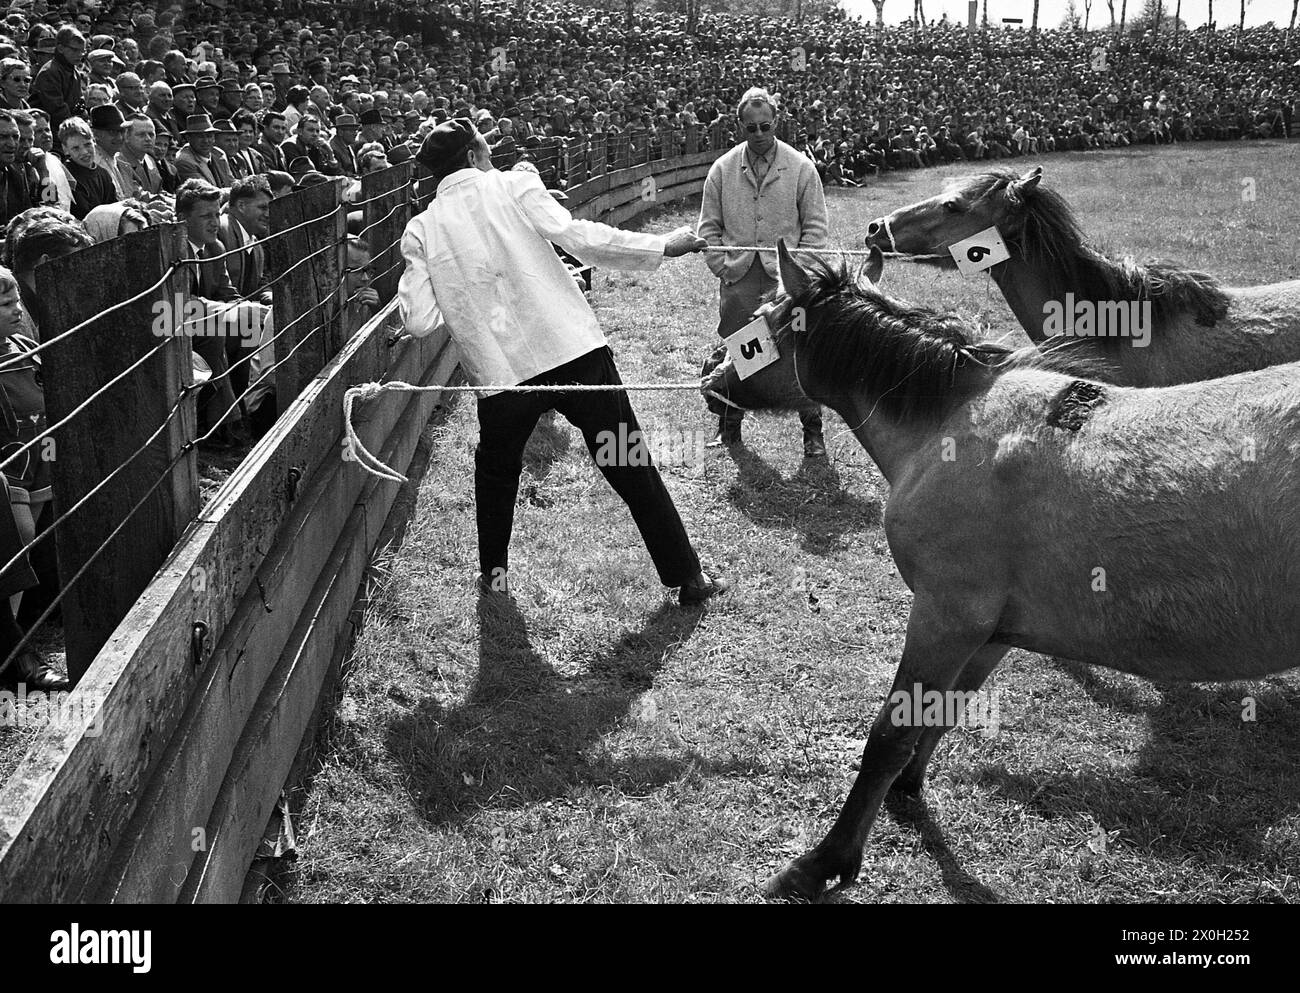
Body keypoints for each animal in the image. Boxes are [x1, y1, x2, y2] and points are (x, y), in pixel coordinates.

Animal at [702, 239, 1300, 899]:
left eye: (763, 323)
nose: (709, 378)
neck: (948, 424)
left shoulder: (946, 615)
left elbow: (889, 734)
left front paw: (826, 861)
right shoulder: (990, 633)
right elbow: (939, 713)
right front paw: (905, 794)